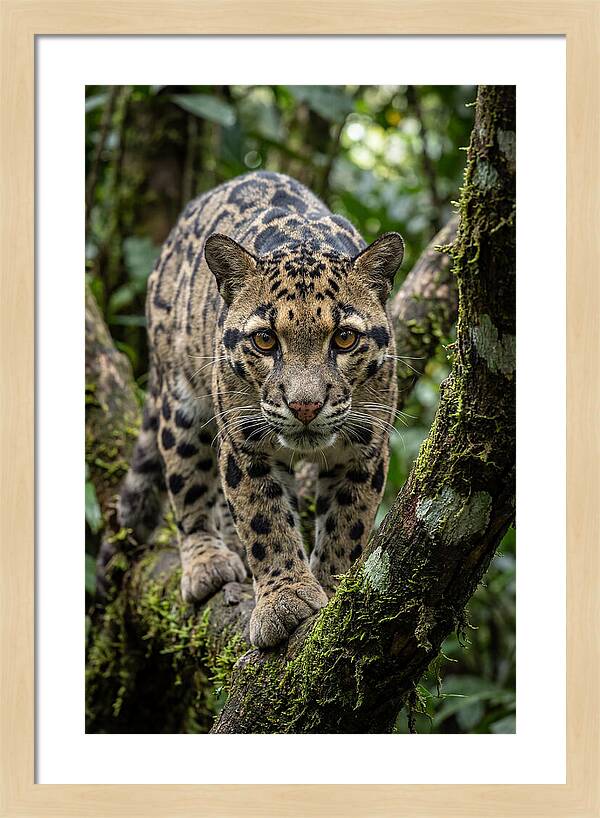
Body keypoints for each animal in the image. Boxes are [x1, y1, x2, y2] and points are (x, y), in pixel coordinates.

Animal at [118, 170, 404, 649]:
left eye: (344, 338)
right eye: (265, 340)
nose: (305, 405)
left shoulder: (365, 445)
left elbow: (348, 522)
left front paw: (332, 586)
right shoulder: (244, 442)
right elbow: (264, 520)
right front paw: (284, 601)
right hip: (180, 401)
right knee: (187, 483)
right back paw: (208, 562)